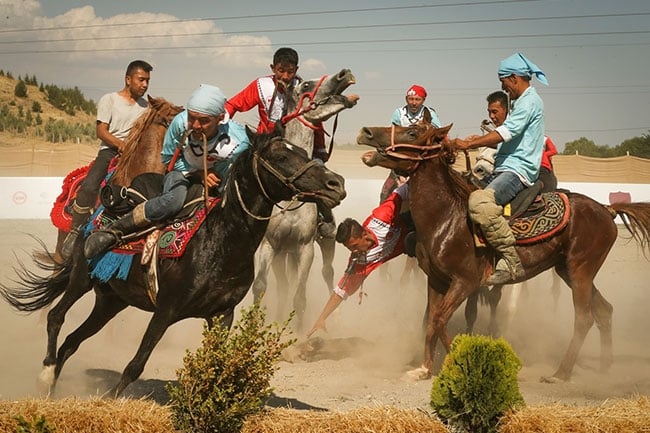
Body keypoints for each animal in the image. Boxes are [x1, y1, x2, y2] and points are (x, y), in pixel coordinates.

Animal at [0, 130, 344, 396]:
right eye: (282, 157)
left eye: (304, 151)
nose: (336, 183)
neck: (220, 241)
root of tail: (94, 219)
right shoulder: (166, 309)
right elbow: (136, 364)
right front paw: (109, 400)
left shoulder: (222, 315)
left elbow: (214, 364)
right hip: (82, 280)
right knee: (56, 317)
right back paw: (45, 375)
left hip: (111, 301)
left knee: (71, 342)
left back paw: (51, 391)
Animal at [249, 70, 360, 328]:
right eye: (307, 85)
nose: (344, 74)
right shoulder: (269, 246)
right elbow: (261, 286)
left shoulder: (305, 248)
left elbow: (300, 297)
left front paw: (298, 332)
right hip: (282, 255)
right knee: (283, 285)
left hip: (326, 241)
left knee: (327, 272)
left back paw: (334, 316)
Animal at [354, 122, 648, 382]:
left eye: (413, 132)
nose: (366, 132)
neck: (447, 217)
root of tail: (607, 210)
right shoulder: (436, 280)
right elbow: (431, 321)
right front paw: (424, 369)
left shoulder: (465, 282)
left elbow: (440, 320)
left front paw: (458, 362)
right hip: (569, 269)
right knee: (604, 310)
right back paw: (604, 369)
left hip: (580, 270)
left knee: (584, 318)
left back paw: (561, 374)